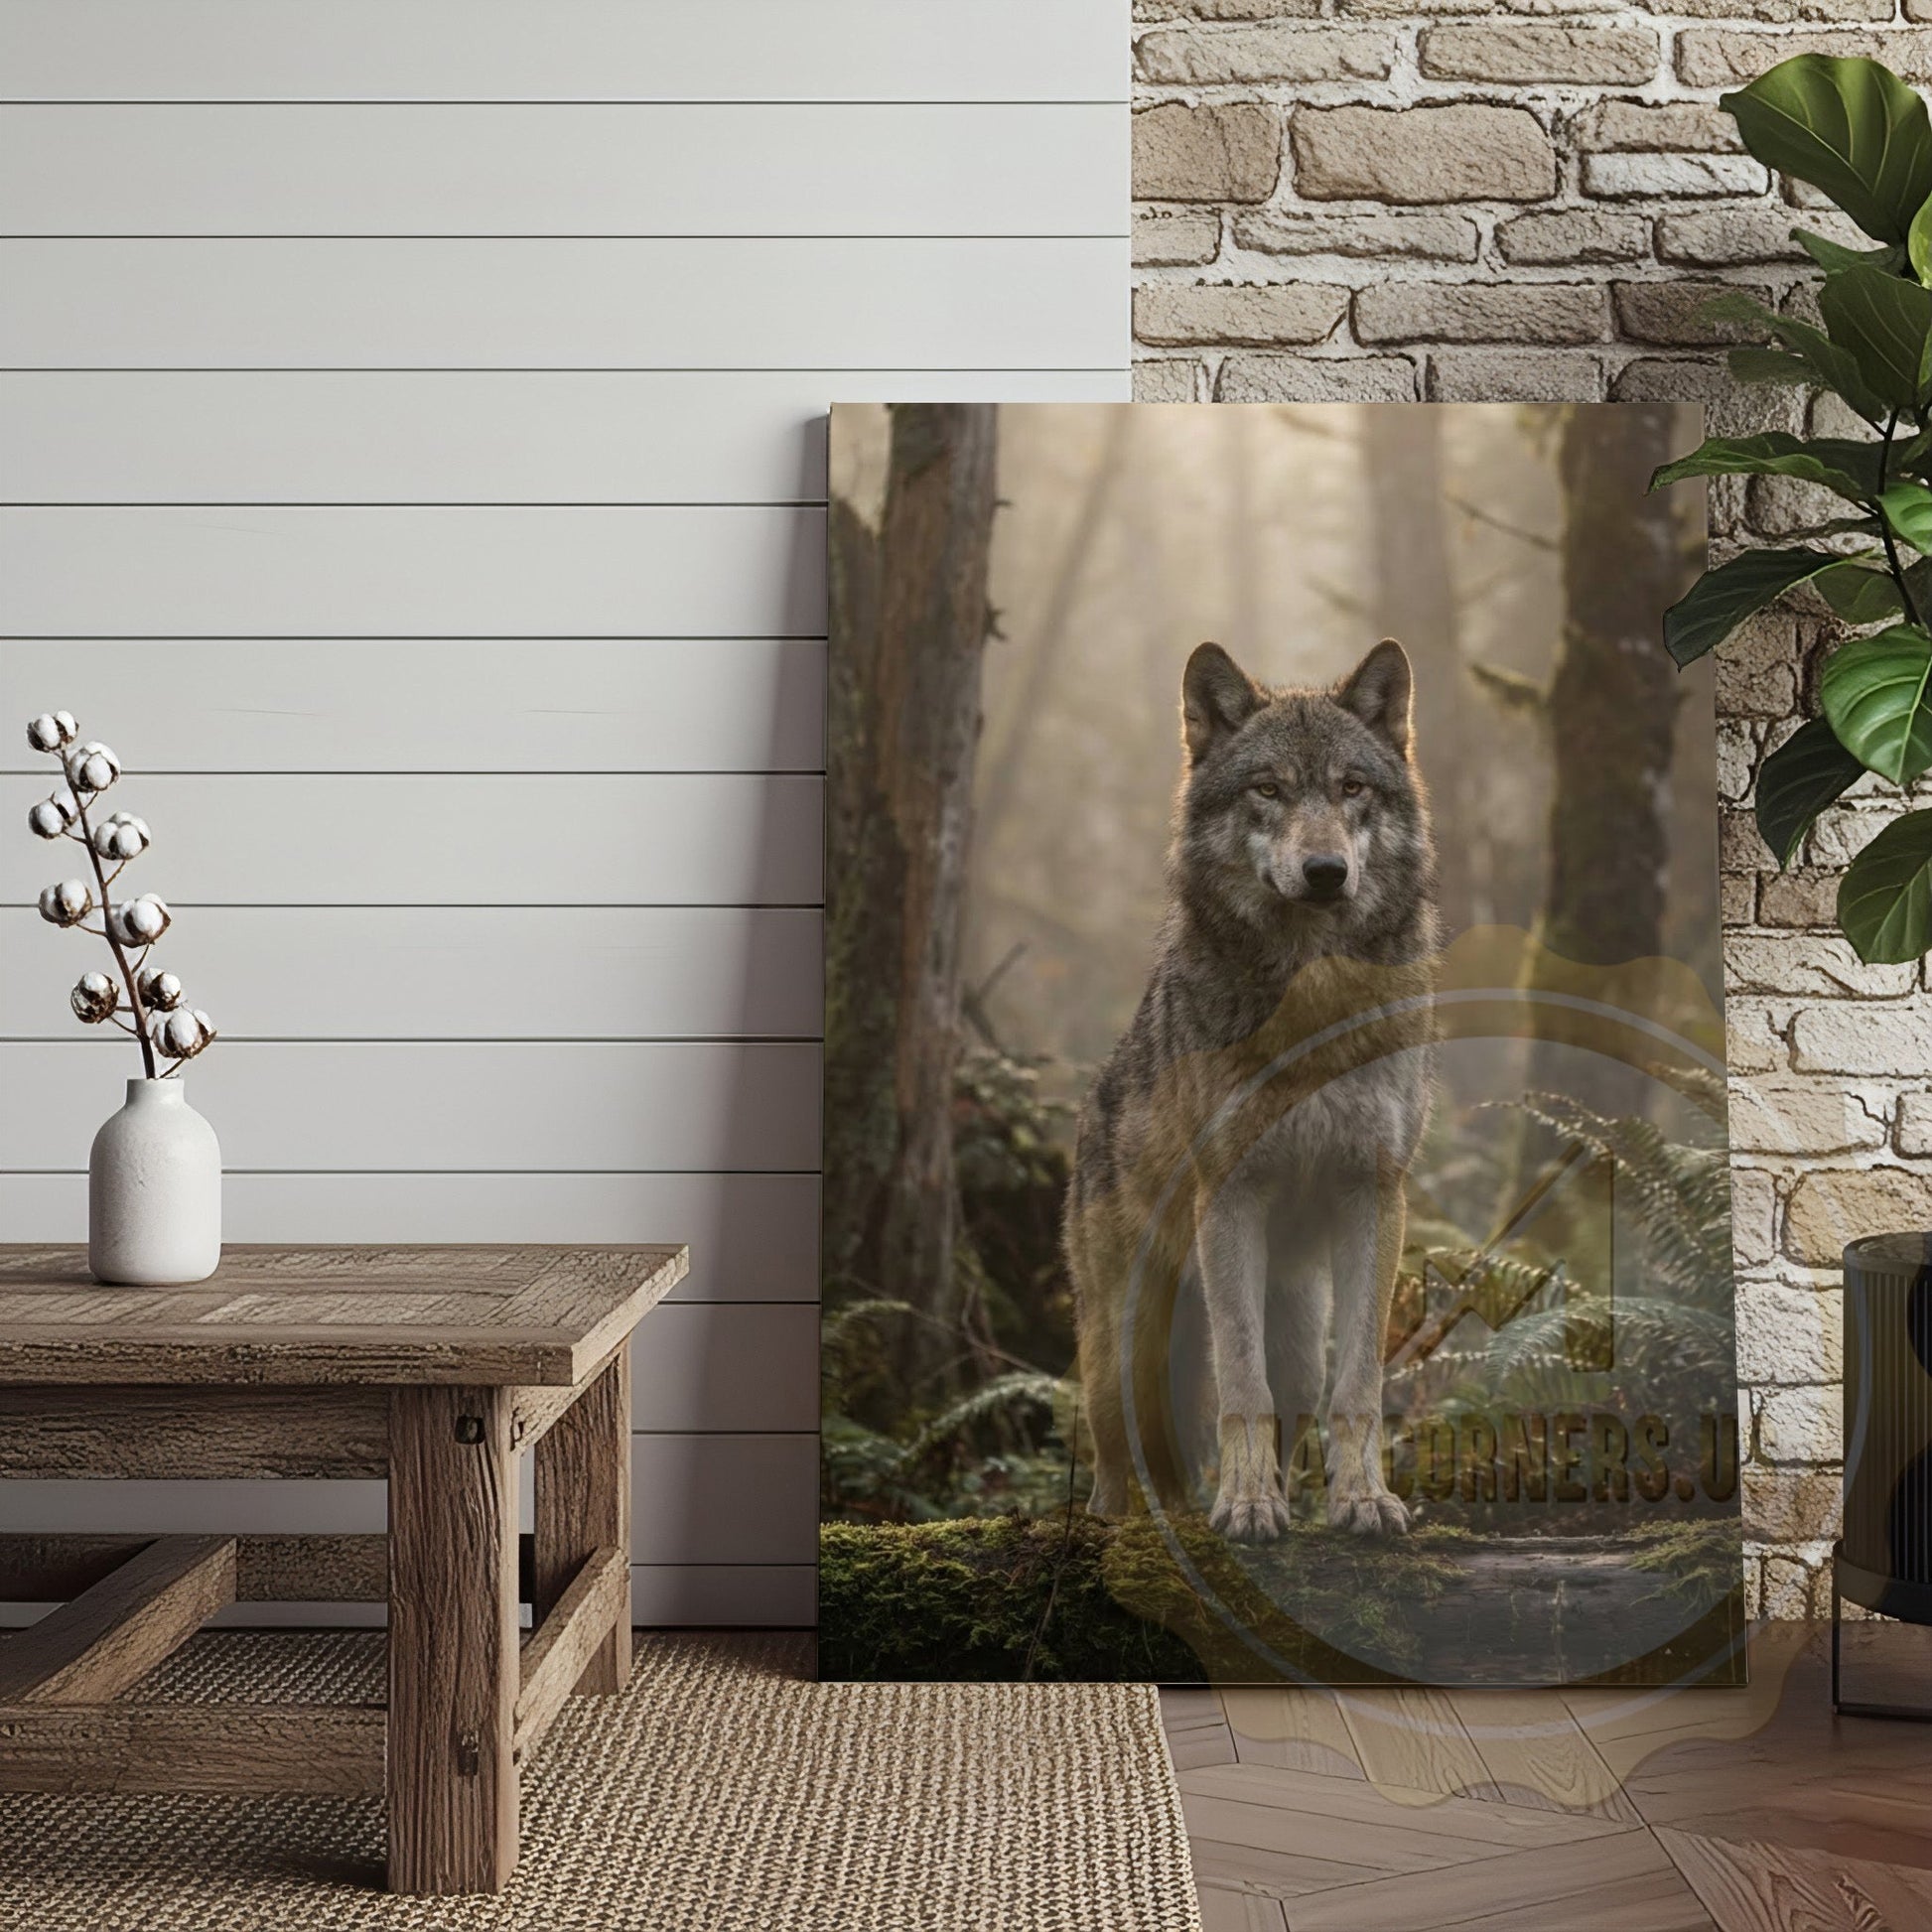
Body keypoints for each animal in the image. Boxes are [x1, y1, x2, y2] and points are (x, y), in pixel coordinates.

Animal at [1065, 638, 1438, 1541]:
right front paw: (1244, 1506)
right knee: (1120, 1461)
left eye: (1351, 787)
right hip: (1124, 1347)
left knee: (1285, 1401)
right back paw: (1136, 1524)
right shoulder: (1230, 1195)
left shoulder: (1374, 1193)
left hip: (1297, 1324)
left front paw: (1363, 1501)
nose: (1325, 871)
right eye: (1268, 789)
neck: (1309, 999)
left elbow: (1359, 1385)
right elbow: (1241, 1382)